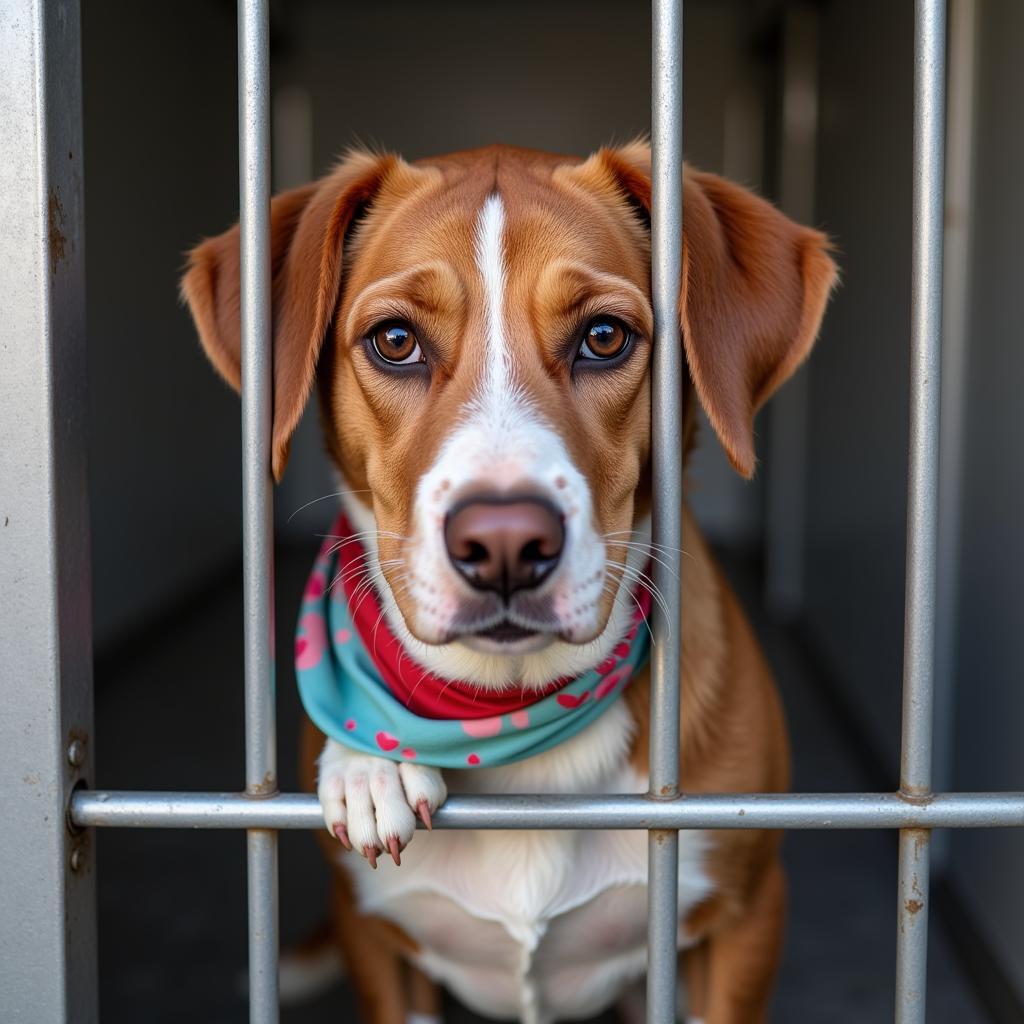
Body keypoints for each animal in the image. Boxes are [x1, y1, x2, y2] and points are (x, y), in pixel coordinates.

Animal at [184, 142, 835, 1024]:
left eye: (605, 336)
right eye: (395, 341)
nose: (502, 545)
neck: (508, 707)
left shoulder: (744, 915)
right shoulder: (380, 943)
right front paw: (369, 762)